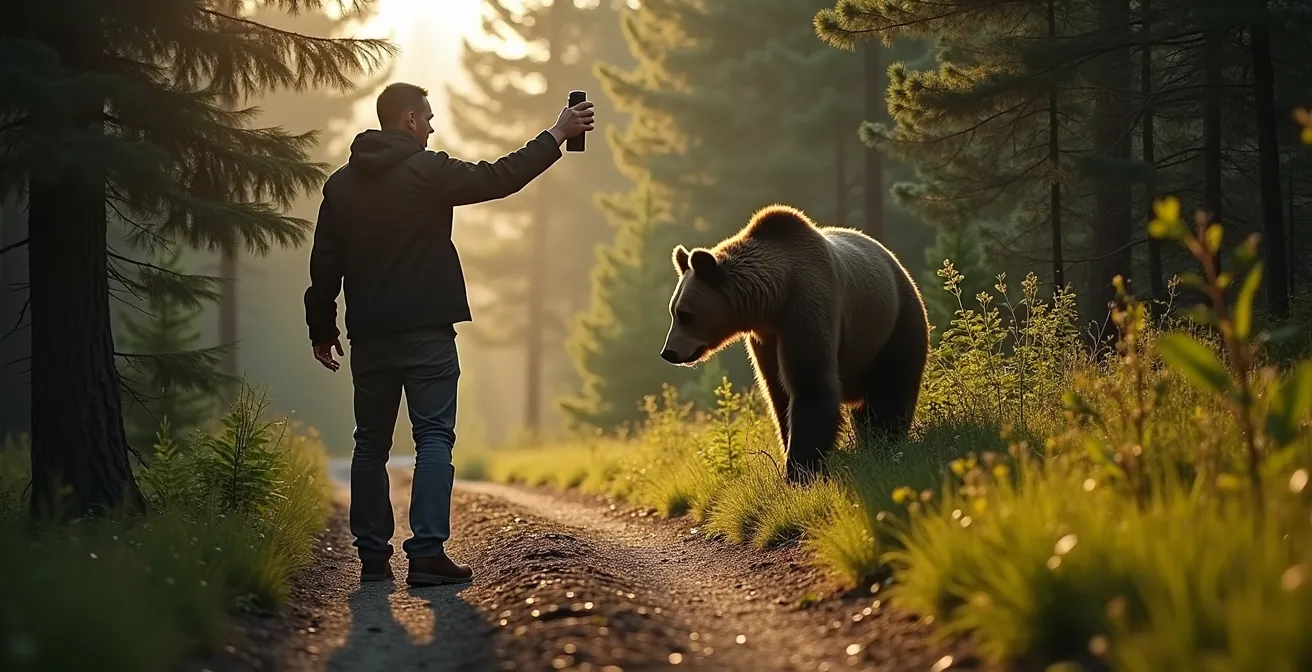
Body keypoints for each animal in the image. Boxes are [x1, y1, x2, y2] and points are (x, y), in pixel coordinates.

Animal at [659, 203, 930, 484]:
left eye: (685, 314)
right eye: (673, 310)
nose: (669, 352)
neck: (775, 300)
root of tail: (895, 261)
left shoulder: (807, 306)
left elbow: (810, 382)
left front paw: (799, 471)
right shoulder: (765, 338)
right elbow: (777, 391)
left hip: (892, 324)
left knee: (890, 387)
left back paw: (885, 440)